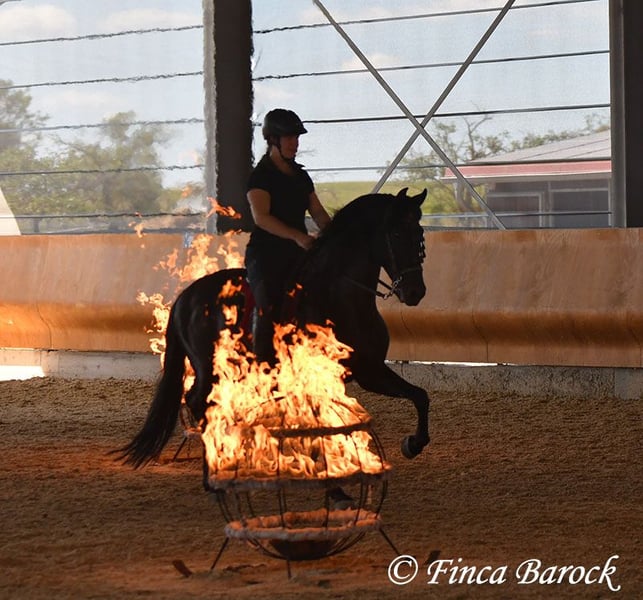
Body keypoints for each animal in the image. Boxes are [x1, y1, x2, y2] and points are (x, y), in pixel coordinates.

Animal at [116, 187, 431, 470]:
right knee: (196, 400)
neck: (338, 298)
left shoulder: (370, 370)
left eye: (419, 235)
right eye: (396, 234)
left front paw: (413, 444)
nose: (415, 292)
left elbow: (420, 396)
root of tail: (187, 295)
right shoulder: (349, 373)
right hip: (208, 366)